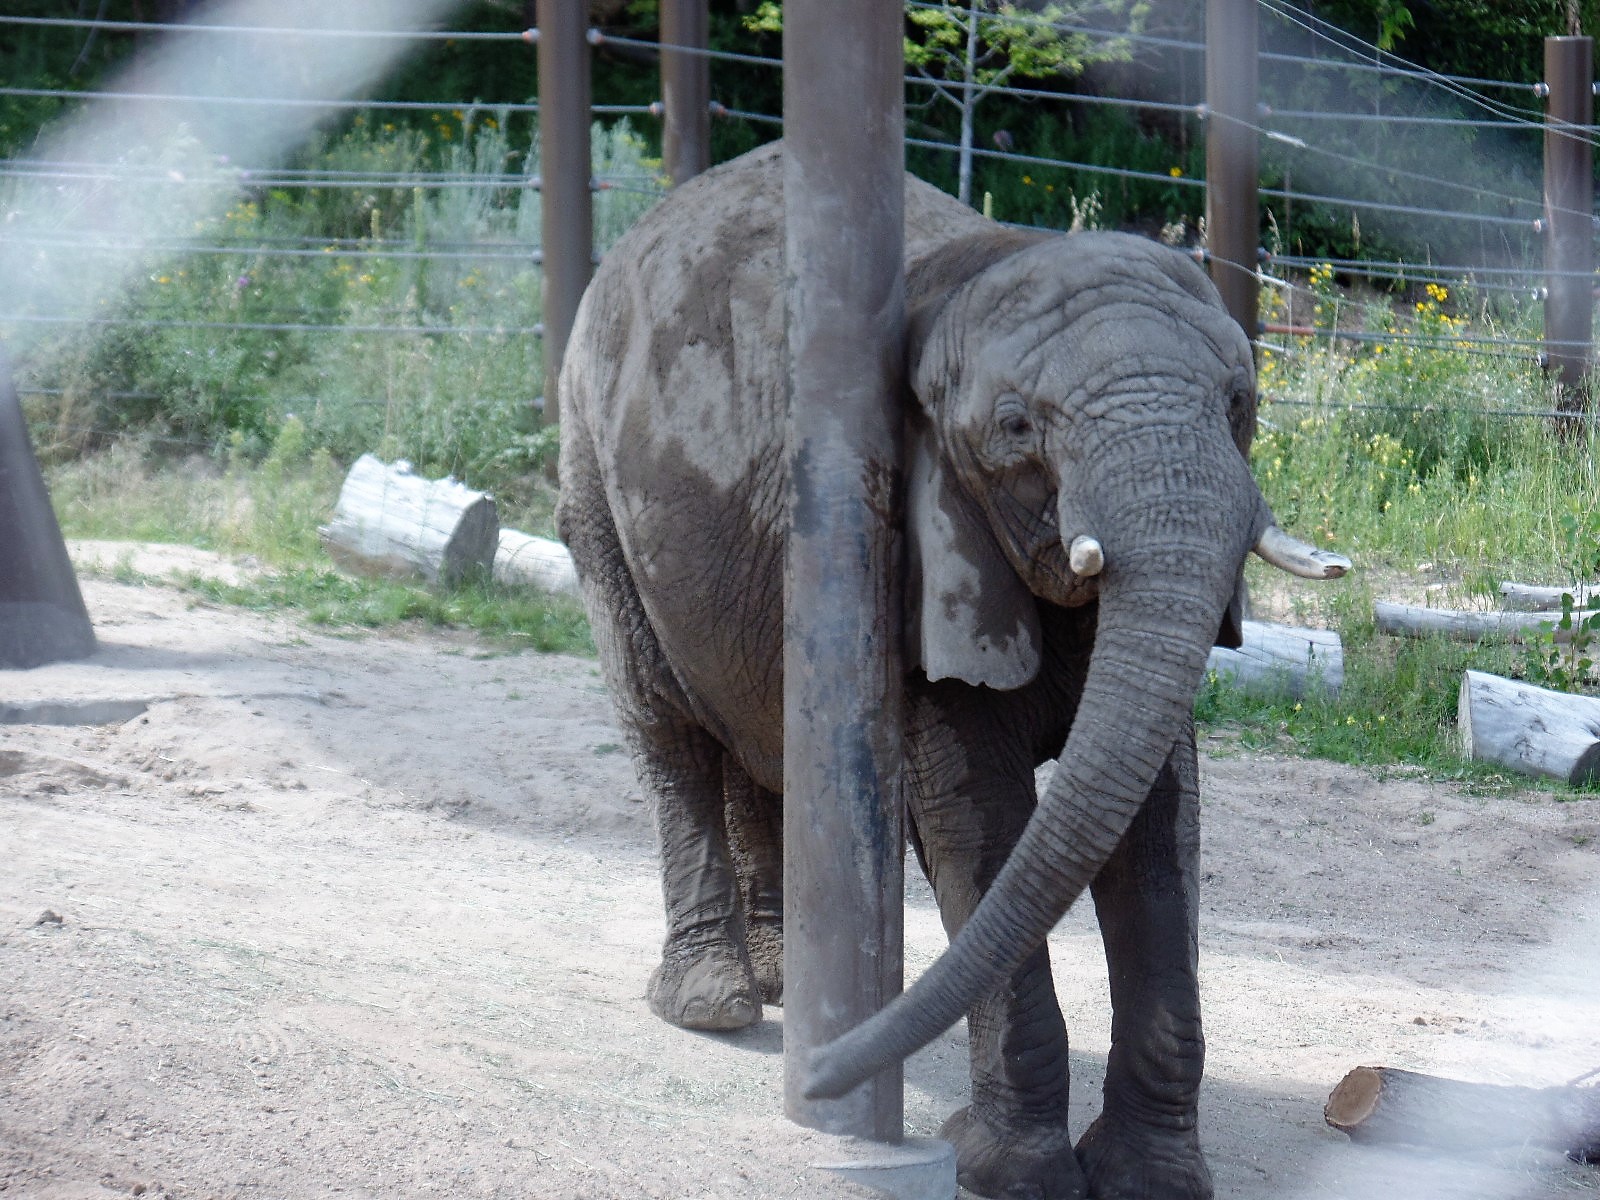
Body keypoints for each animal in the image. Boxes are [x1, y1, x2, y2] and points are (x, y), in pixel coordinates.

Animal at [556, 141, 1346, 1200]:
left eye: (1239, 402)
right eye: (1015, 428)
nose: (819, 1083)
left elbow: (1158, 823)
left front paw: (1151, 1180)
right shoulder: (909, 553)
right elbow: (979, 817)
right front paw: (1011, 1172)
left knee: (768, 742)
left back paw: (785, 986)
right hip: (592, 482)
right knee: (666, 730)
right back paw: (715, 1006)